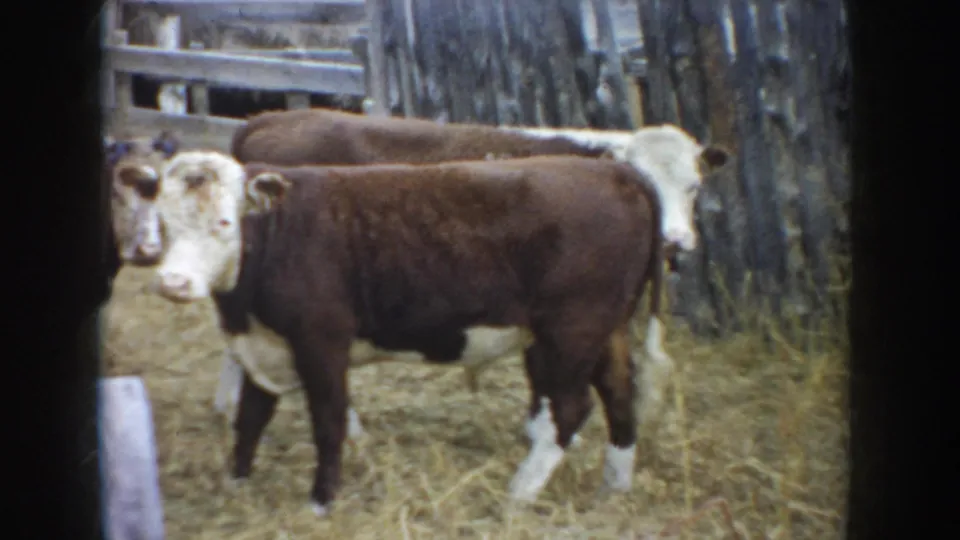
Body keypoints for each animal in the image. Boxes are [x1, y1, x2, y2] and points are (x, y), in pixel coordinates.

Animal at [144, 149, 674, 515]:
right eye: (162, 223)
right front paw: (235, 483)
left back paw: (519, 494)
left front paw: (321, 502)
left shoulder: (321, 341)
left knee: (569, 408)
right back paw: (614, 486)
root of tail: (614, 171)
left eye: (224, 222)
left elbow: (328, 421)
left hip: (570, 331)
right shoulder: (263, 345)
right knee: (620, 395)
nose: (173, 283)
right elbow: (251, 418)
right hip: (607, 330)